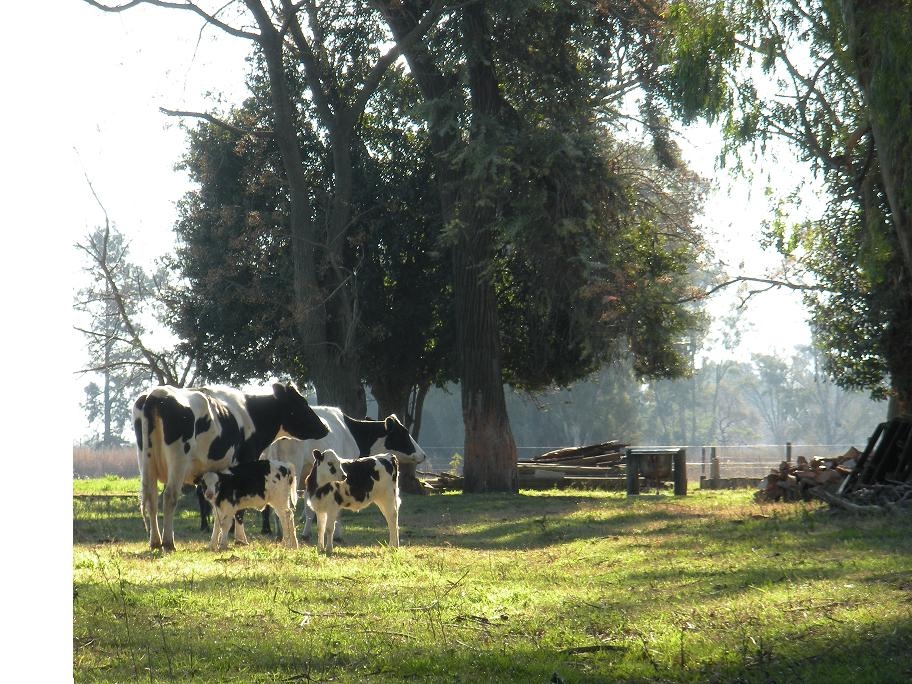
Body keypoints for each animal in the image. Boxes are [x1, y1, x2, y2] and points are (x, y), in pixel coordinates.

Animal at [128, 382, 328, 552]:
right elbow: (239, 510)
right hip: (178, 462)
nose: (325, 428)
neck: (250, 414)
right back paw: (168, 542)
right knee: (169, 496)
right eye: (301, 403)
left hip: (146, 462)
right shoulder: (243, 464)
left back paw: (155, 541)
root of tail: (155, 394)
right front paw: (240, 539)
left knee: (151, 498)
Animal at [258, 408, 426, 544]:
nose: (423, 455)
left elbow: (309, 508)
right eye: (404, 433)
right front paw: (334, 536)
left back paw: (276, 532)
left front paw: (308, 533)